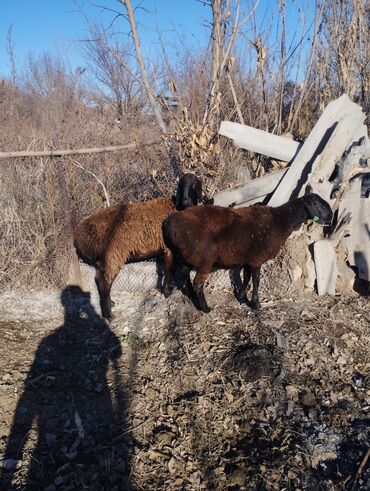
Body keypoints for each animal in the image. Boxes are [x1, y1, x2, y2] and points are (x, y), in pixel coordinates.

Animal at [74, 173, 202, 320]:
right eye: (180, 184)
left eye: (194, 184)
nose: (186, 201)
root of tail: (78, 236)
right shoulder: (168, 248)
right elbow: (168, 269)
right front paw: (167, 292)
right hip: (113, 256)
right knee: (104, 282)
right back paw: (109, 315)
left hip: (101, 261)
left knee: (98, 281)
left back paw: (111, 304)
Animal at [162, 194, 332, 314]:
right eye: (316, 203)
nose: (330, 217)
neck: (281, 221)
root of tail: (168, 223)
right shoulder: (257, 259)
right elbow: (256, 280)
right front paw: (256, 303)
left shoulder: (248, 259)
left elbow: (247, 277)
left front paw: (241, 297)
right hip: (205, 258)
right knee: (197, 282)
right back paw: (204, 308)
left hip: (187, 256)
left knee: (181, 274)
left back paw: (189, 296)